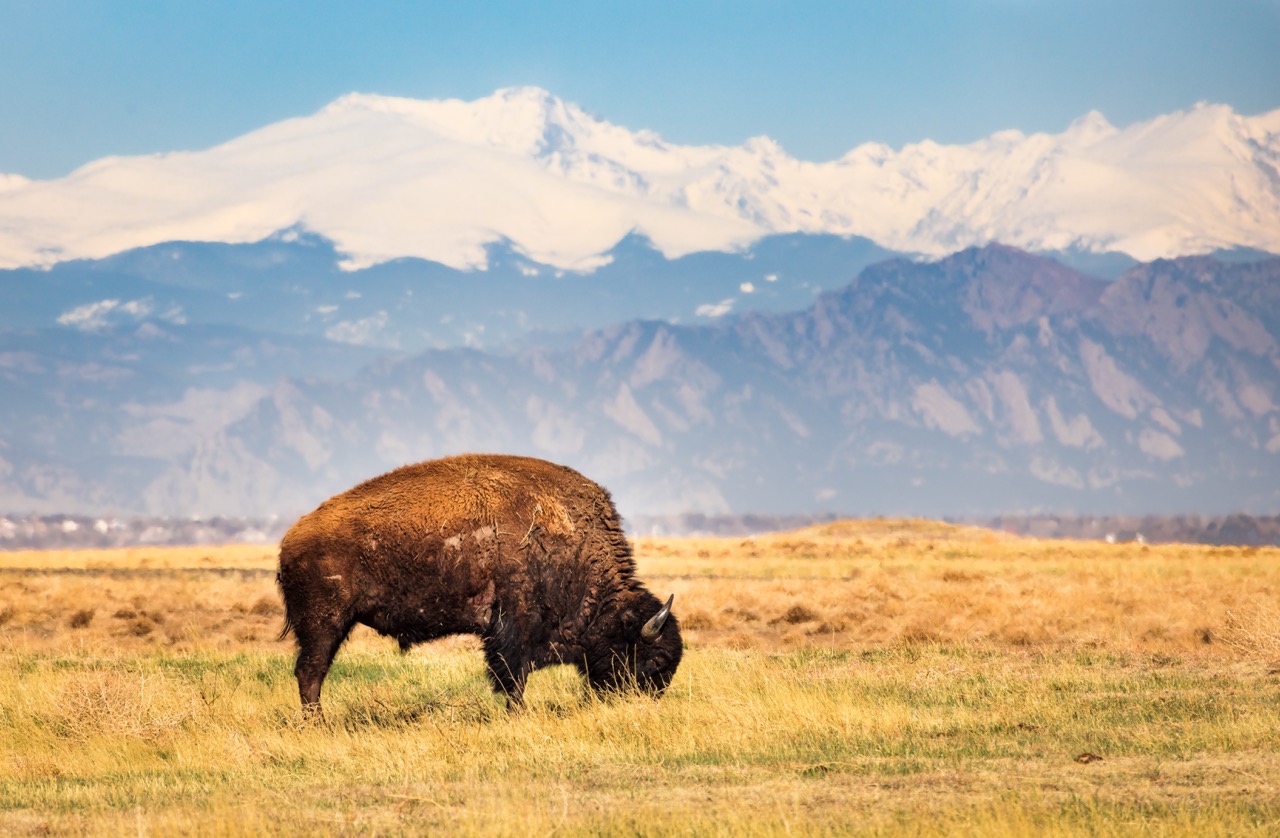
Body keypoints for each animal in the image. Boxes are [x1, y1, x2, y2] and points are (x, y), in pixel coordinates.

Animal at [277, 453, 681, 712]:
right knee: (310, 672)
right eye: (657, 660)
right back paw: (317, 724)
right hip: (324, 623)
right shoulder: (513, 629)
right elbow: (513, 679)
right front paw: (516, 714)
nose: (647, 705)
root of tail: (289, 540)